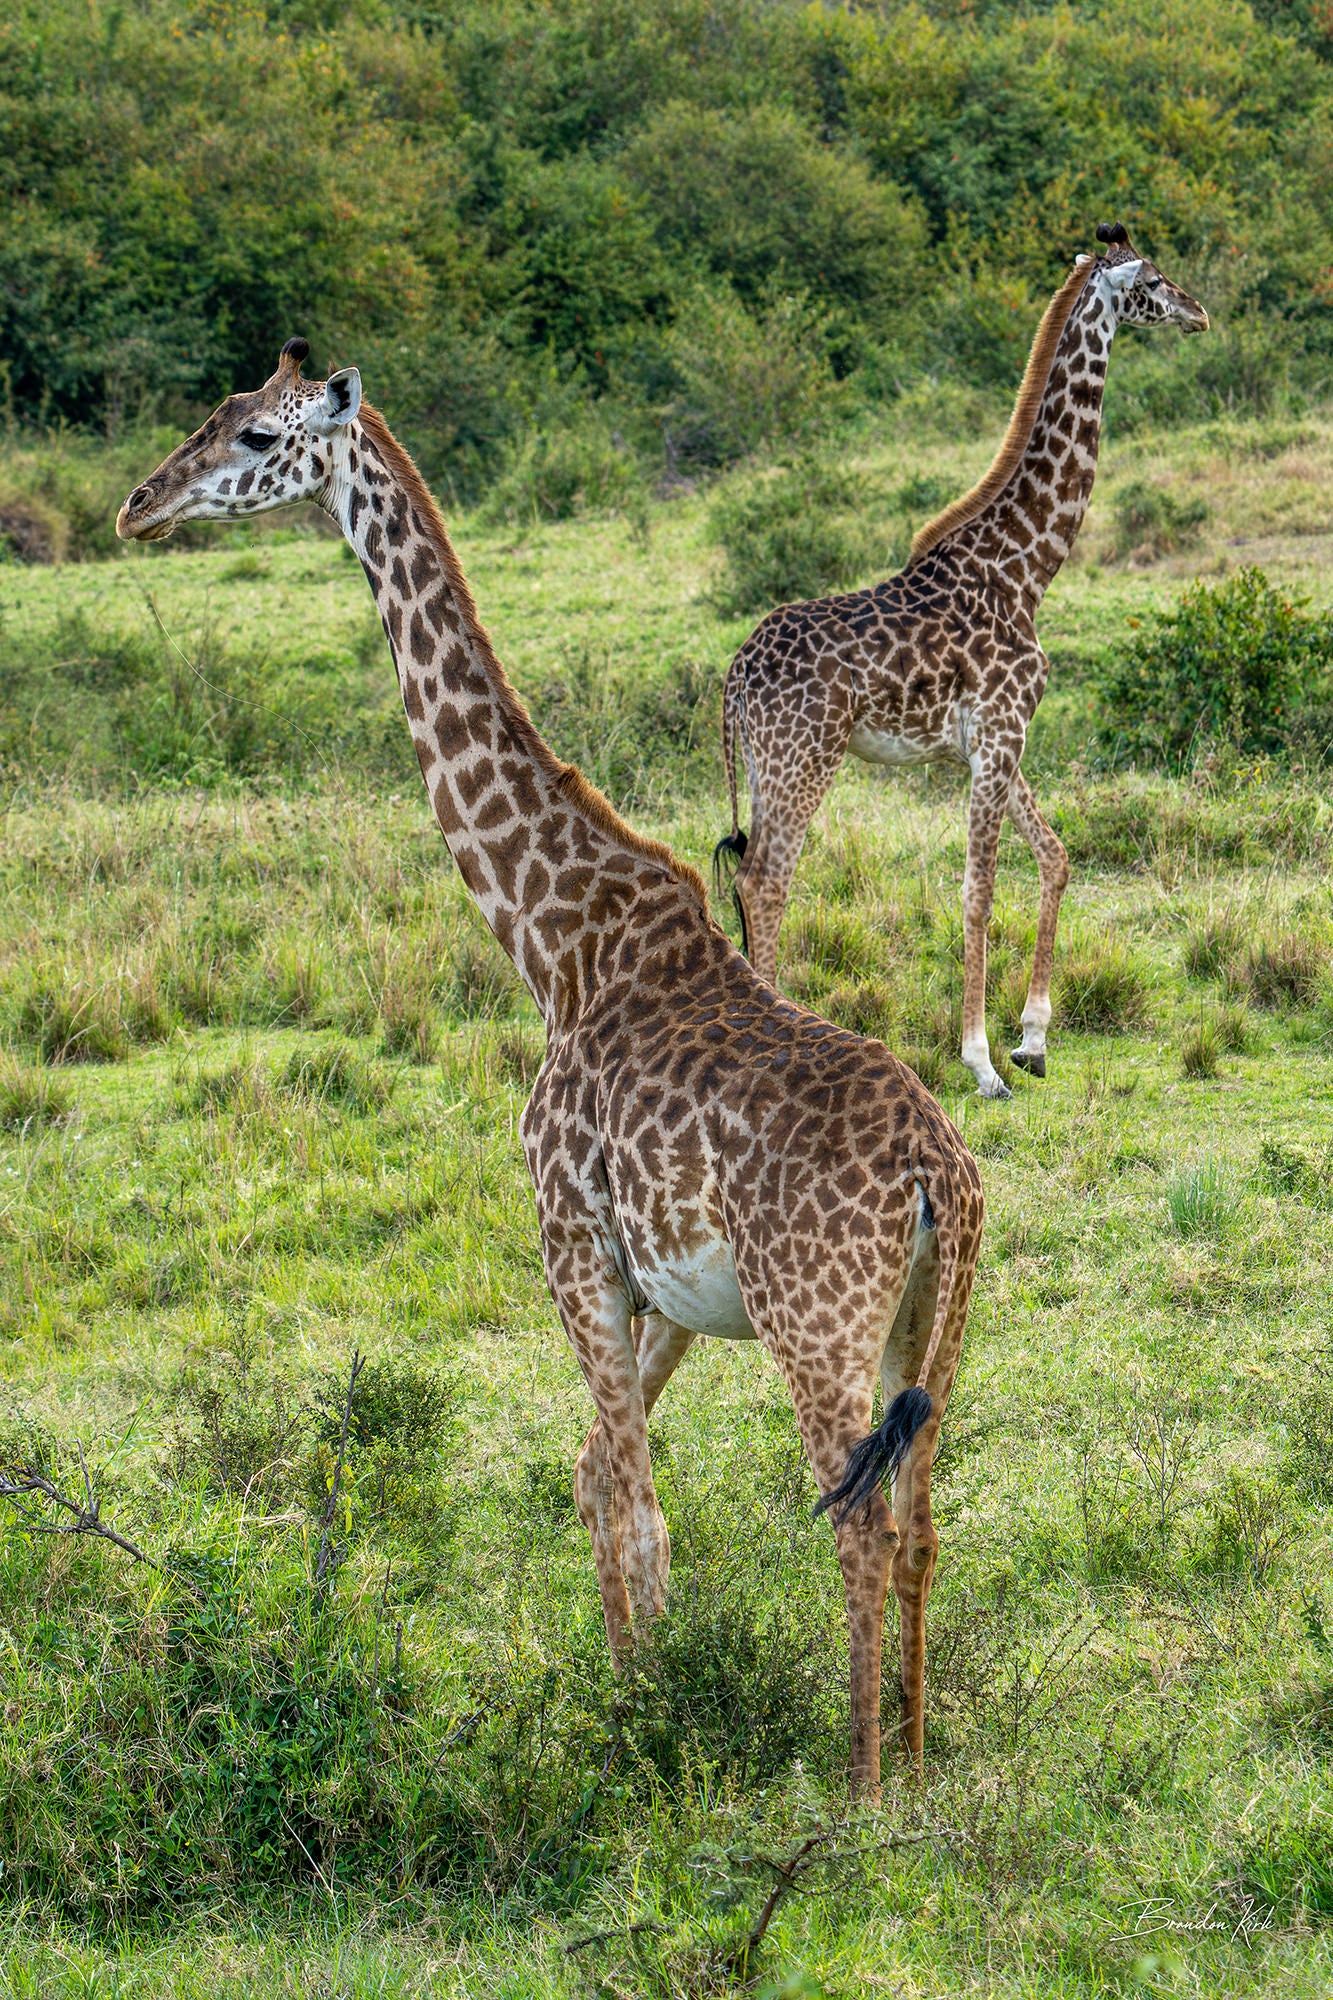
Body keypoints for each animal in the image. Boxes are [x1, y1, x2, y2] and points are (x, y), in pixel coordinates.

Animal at [117, 339, 985, 1791]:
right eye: (214, 414)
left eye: (252, 436)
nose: (137, 506)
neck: (553, 938)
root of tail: (937, 1173)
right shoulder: (661, 1290)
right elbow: (606, 1483)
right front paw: (650, 1695)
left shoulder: (568, 1244)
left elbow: (632, 1502)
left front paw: (643, 1745)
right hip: (936, 1323)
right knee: (919, 1518)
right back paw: (920, 1769)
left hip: (816, 1322)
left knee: (855, 1520)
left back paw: (864, 1790)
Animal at [716, 223, 1209, 1099]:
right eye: (1151, 280)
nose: (1199, 312)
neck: (1026, 568)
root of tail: (733, 677)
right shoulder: (1001, 731)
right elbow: (979, 887)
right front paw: (981, 1062)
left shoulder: (986, 742)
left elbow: (1054, 857)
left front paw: (1033, 1039)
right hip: (803, 756)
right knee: (765, 880)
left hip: (767, 764)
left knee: (753, 878)